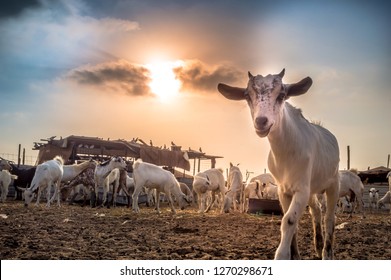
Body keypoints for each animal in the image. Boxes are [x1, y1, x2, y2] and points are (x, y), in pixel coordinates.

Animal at [219, 68, 342, 260]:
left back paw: (327, 253)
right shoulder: (283, 190)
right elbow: (292, 221)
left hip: (333, 183)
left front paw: (282, 254)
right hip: (312, 187)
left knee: (329, 217)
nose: (261, 121)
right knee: (316, 210)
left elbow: (289, 220)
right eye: (247, 96)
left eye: (282, 95)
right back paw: (318, 245)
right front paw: (295, 255)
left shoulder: (301, 189)